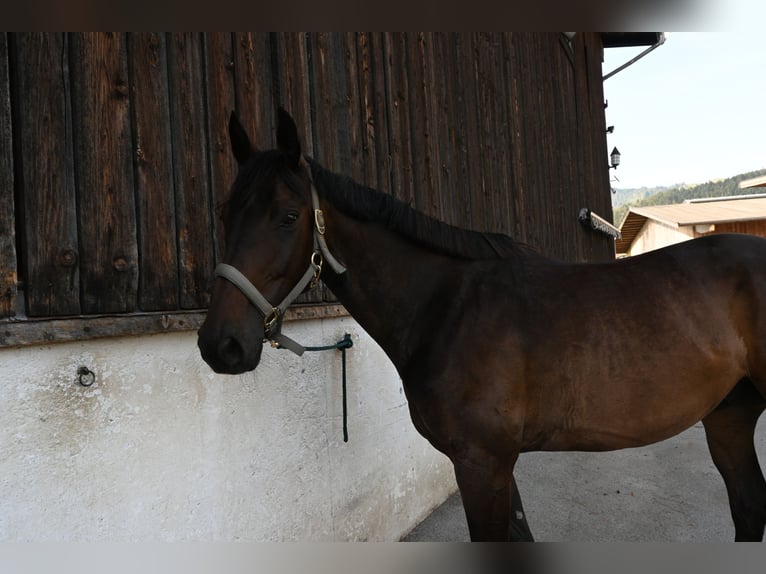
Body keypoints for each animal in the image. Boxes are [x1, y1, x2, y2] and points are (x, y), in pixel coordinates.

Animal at [198, 108, 766, 544]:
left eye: (289, 216)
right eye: (225, 212)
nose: (221, 345)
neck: (447, 308)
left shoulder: (481, 463)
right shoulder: (494, 466)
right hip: (728, 418)